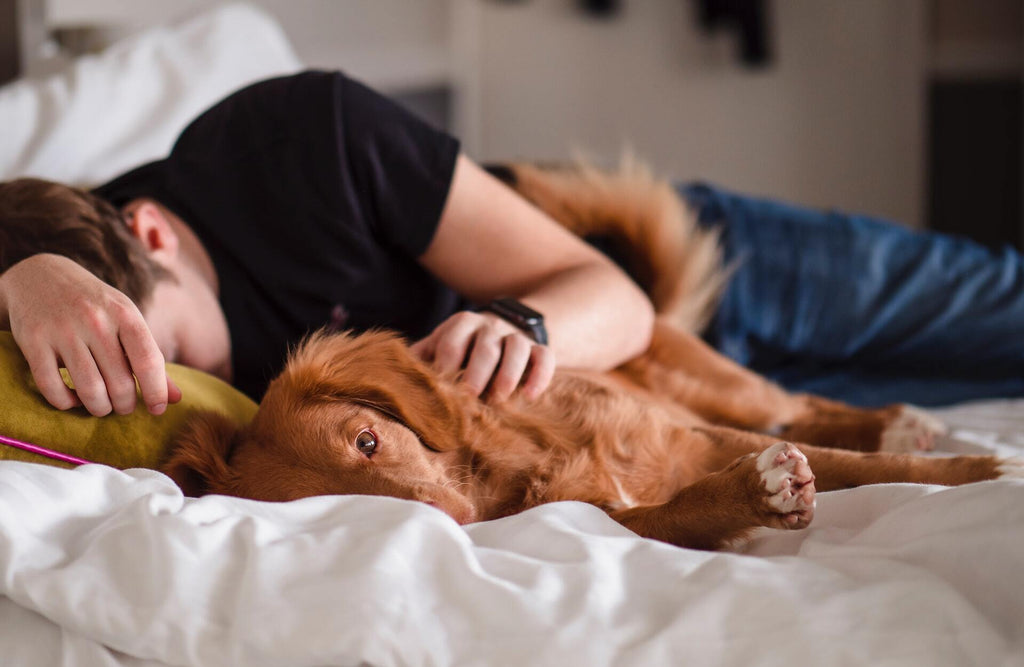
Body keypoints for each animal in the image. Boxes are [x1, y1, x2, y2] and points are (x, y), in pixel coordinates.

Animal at [159, 161, 1024, 549]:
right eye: (340, 507)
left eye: (369, 440)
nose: (452, 521)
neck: (516, 460)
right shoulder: (608, 514)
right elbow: (681, 509)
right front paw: (754, 495)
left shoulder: (695, 431)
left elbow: (871, 468)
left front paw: (983, 469)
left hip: (723, 386)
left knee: (803, 404)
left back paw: (899, 420)